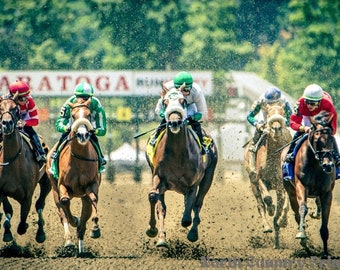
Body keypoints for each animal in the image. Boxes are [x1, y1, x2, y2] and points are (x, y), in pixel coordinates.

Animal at [0, 93, 51, 243]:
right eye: (0, 108)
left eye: (15, 109)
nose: (7, 124)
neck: (13, 163)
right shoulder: (1, 191)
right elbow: (8, 210)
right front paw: (7, 232)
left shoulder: (27, 195)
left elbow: (22, 222)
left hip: (47, 182)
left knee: (40, 205)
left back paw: (40, 232)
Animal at [45, 98, 100, 254]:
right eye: (73, 116)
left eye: (89, 115)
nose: (82, 135)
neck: (79, 159)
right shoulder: (62, 186)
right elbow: (65, 202)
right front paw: (74, 220)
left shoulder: (92, 185)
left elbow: (94, 199)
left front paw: (95, 228)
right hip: (54, 189)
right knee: (62, 212)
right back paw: (69, 240)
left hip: (83, 196)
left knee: (85, 214)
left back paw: (81, 245)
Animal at [145, 86, 216, 247]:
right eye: (165, 102)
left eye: (183, 101)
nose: (175, 123)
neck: (177, 152)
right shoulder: (159, 177)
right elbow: (155, 199)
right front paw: (154, 231)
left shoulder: (192, 183)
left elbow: (187, 216)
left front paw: (189, 227)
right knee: (164, 206)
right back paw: (162, 238)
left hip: (208, 177)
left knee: (197, 203)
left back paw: (193, 233)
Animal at [244, 104, 292, 249]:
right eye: (269, 113)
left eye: (283, 113)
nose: (276, 128)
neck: (274, 156)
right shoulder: (259, 178)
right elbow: (267, 198)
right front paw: (271, 209)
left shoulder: (280, 186)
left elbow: (280, 211)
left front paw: (281, 220)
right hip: (253, 184)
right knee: (260, 205)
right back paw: (266, 226)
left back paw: (276, 241)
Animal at [282, 110, 336, 258]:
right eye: (317, 140)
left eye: (332, 140)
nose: (328, 165)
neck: (317, 165)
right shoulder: (301, 186)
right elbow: (303, 209)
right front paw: (302, 234)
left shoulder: (326, 192)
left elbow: (325, 217)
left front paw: (325, 253)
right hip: (291, 192)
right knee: (296, 213)